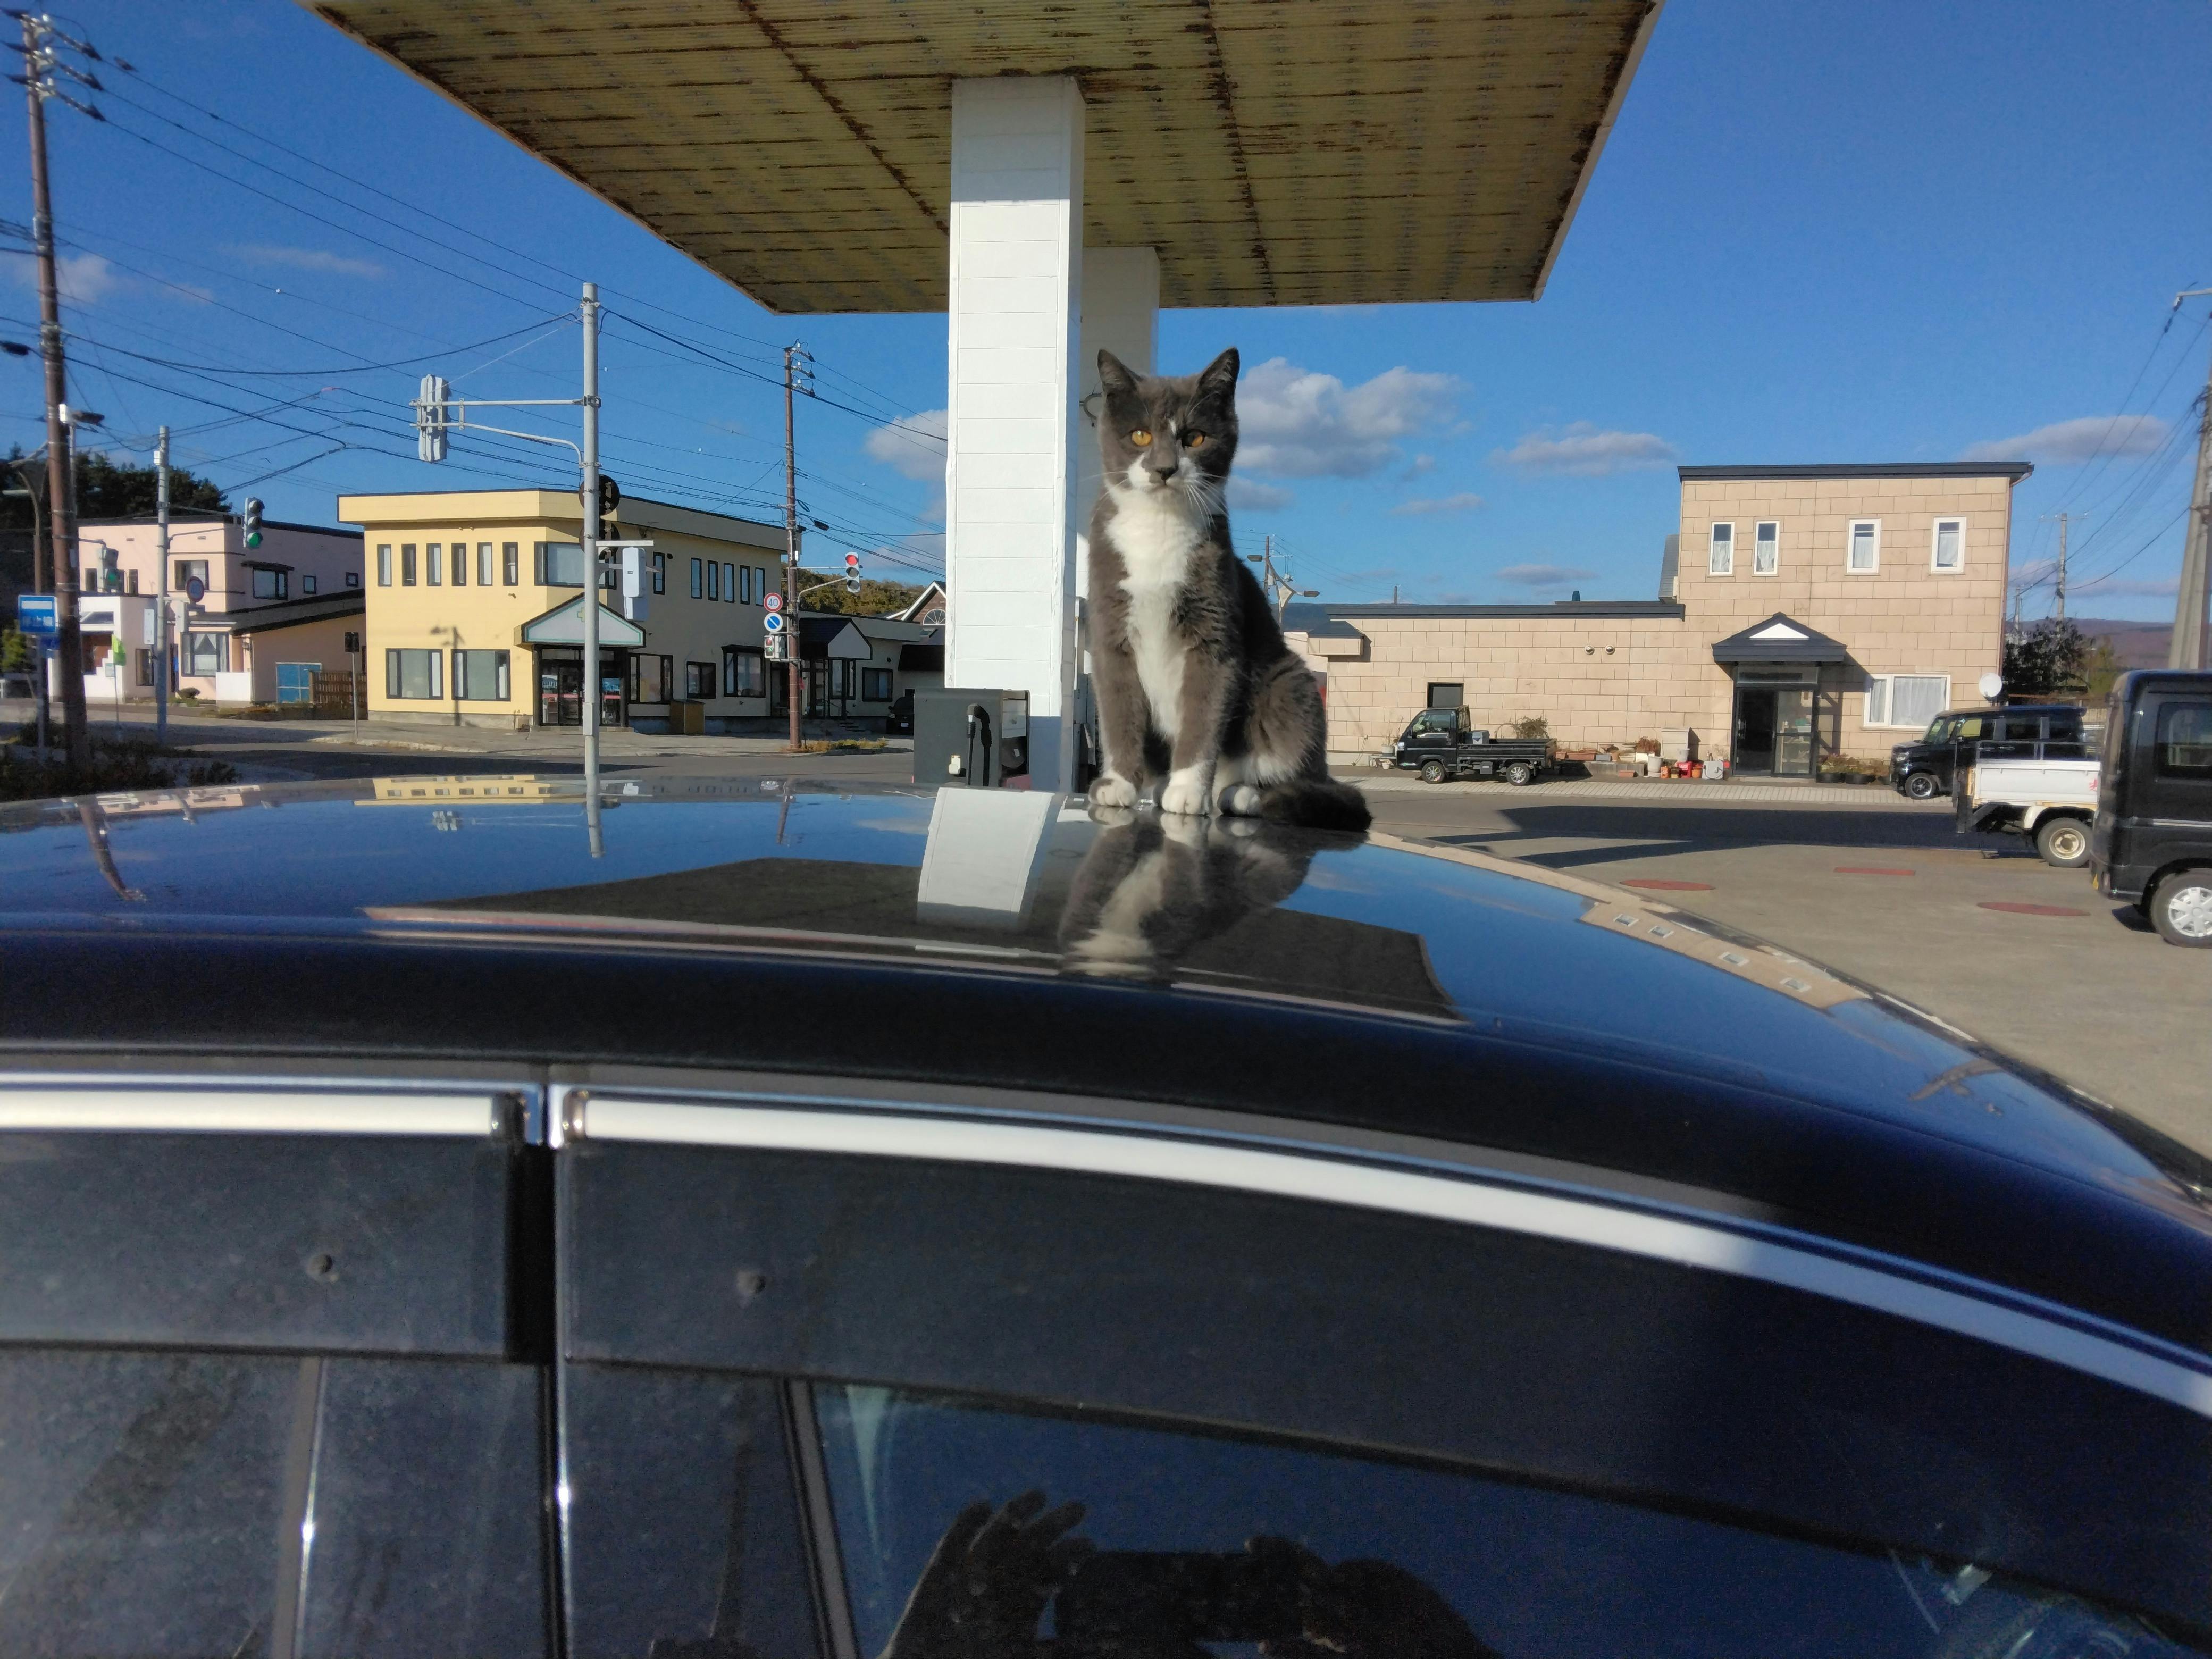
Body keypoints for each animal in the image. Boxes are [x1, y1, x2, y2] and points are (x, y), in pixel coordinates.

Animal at [1085, 347, 1371, 833]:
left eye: (1195, 438)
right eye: (1141, 435)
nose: (1164, 469)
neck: (1159, 527)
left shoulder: (1214, 629)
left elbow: (1204, 714)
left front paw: (1186, 791)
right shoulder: (1110, 627)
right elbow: (1119, 711)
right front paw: (1120, 784)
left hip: (1290, 687)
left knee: (1299, 775)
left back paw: (1240, 794)